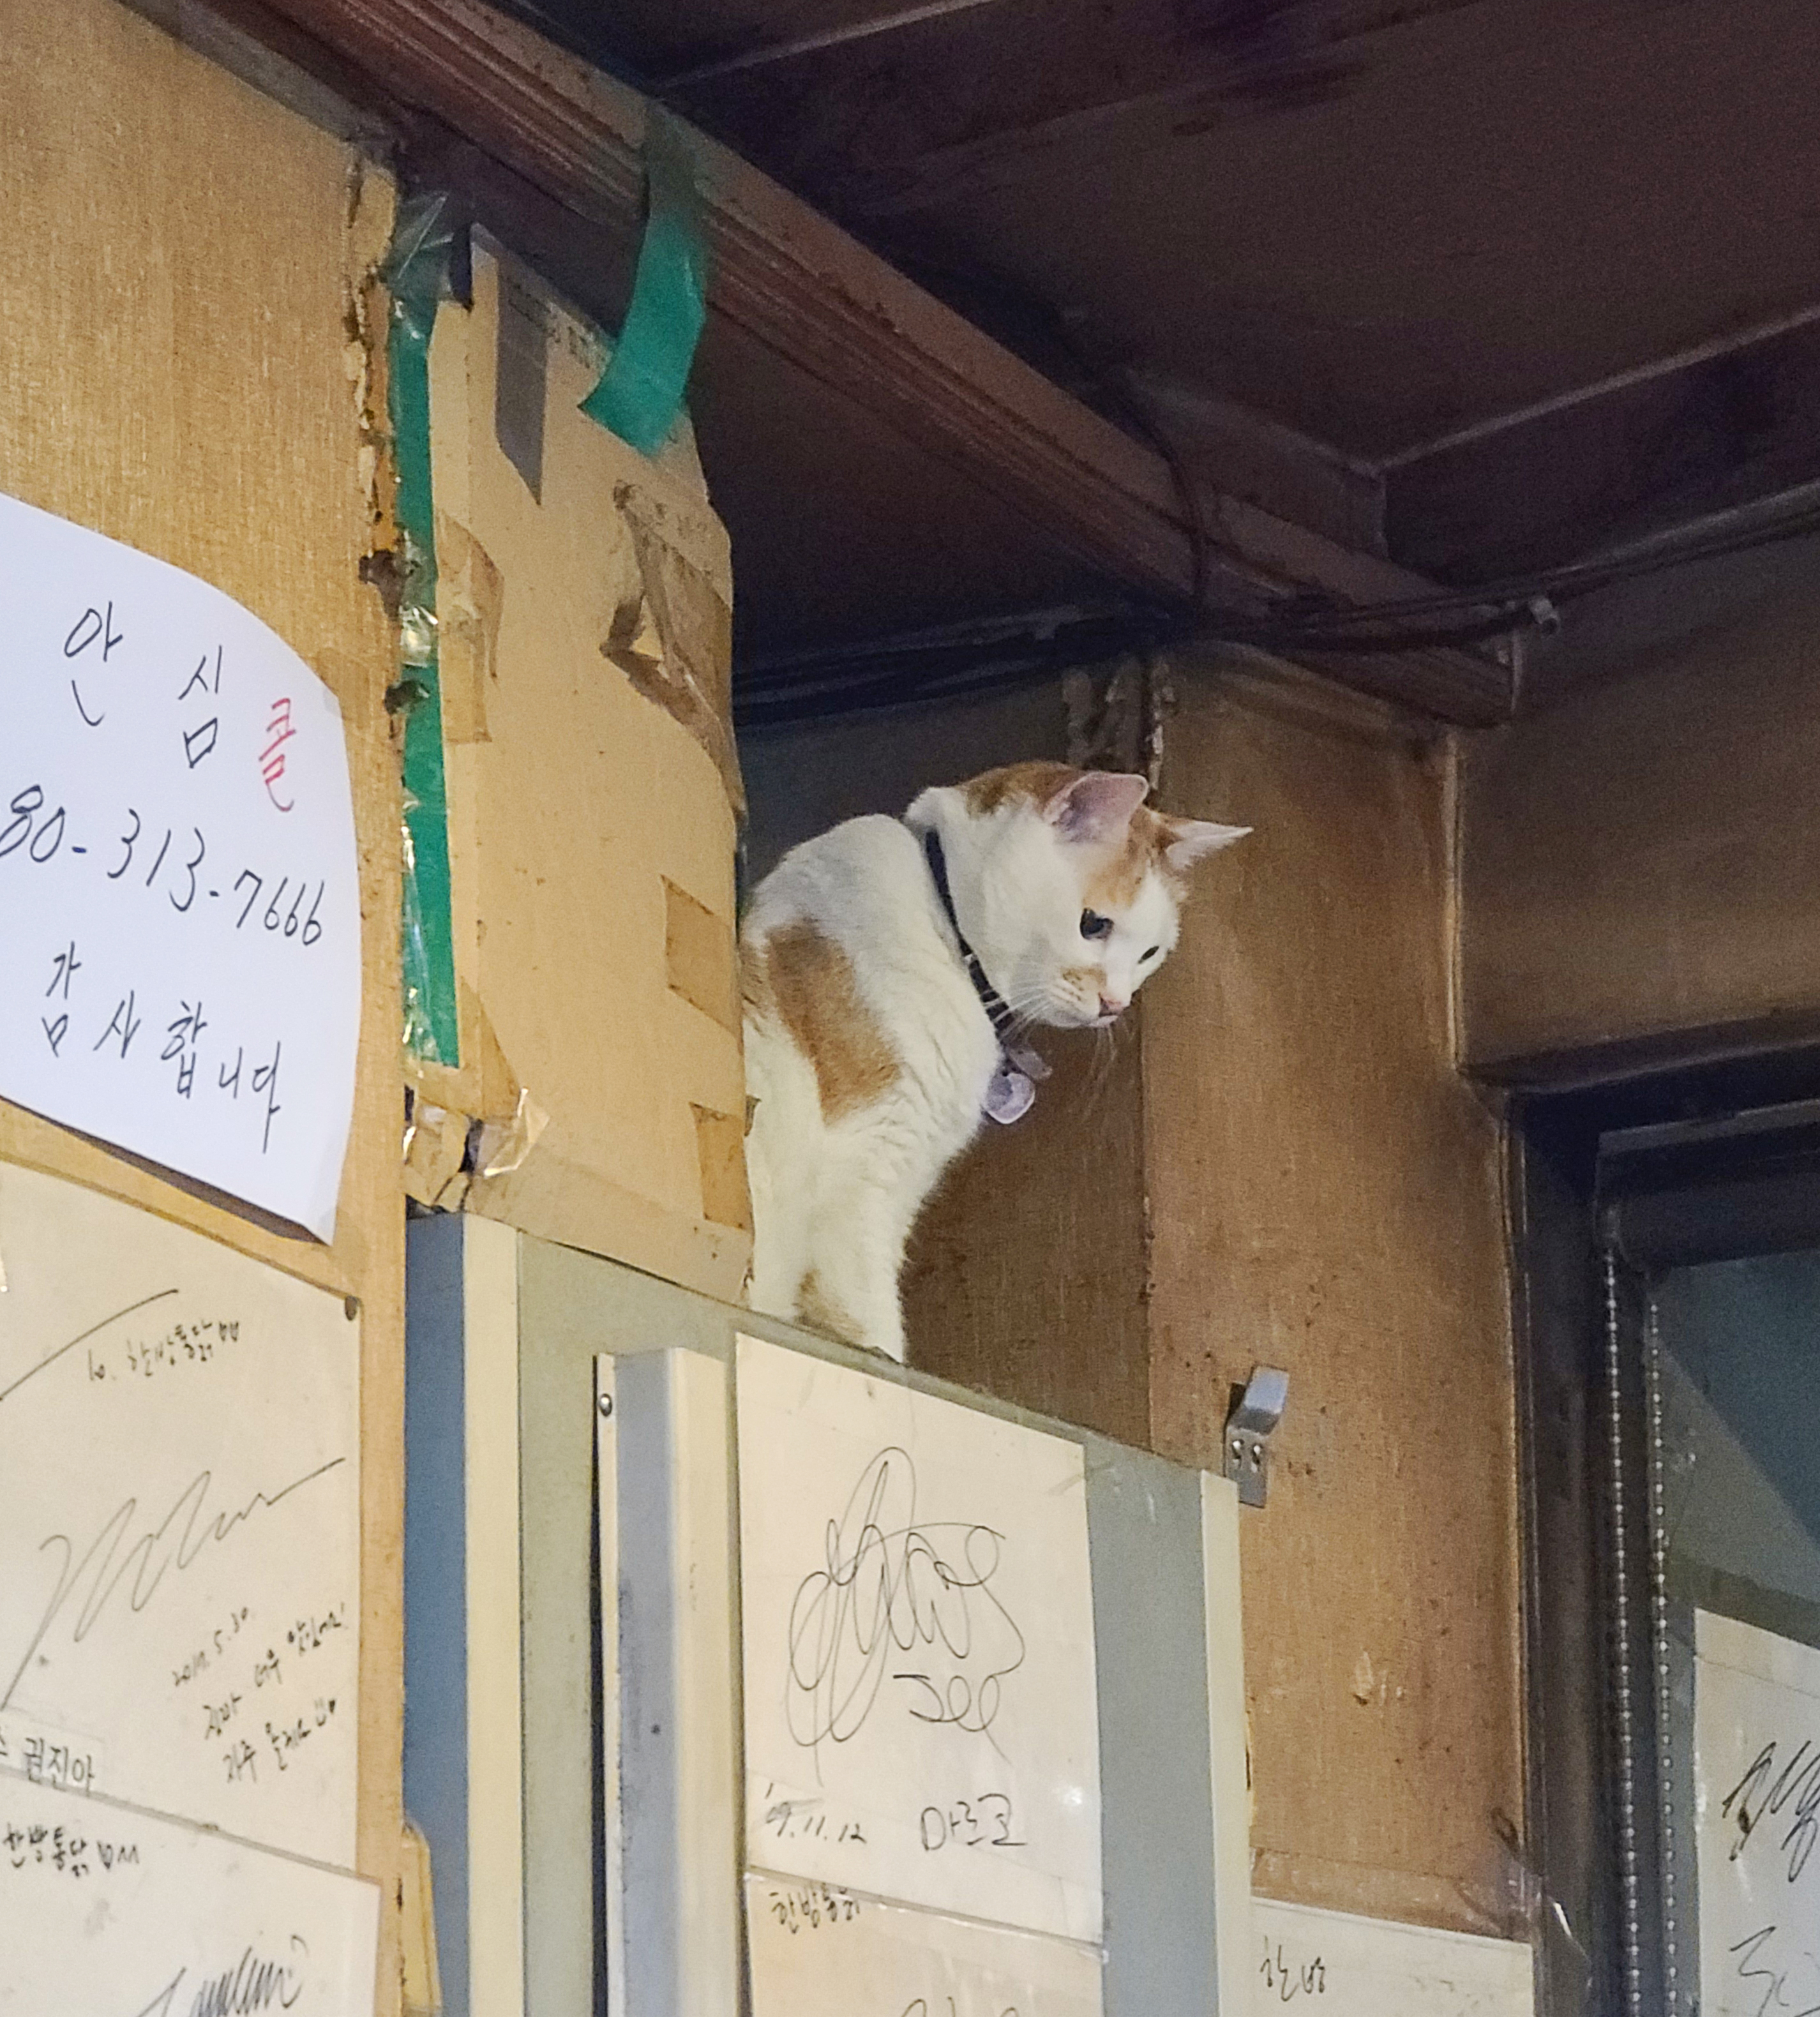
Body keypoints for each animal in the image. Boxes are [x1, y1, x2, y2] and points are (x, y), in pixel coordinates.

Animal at [740, 760, 1247, 1362]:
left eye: (1150, 954)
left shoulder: (902, 1181)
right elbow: (868, 1319)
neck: (945, 924)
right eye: (1093, 925)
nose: (1116, 1004)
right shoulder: (865, 1171)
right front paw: (883, 1357)